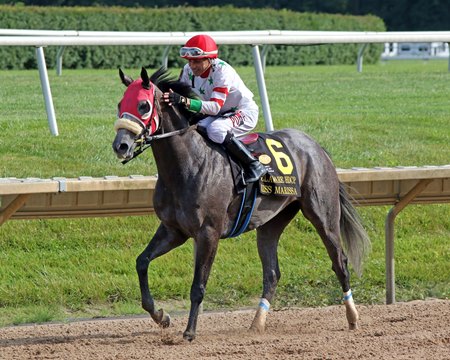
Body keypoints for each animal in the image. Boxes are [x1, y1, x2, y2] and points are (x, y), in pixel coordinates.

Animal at [111, 67, 370, 340]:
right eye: (120, 104)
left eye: (144, 105)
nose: (121, 145)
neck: (188, 165)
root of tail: (315, 146)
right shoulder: (174, 230)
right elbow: (142, 262)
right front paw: (161, 316)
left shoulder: (208, 232)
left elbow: (198, 285)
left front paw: (190, 331)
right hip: (271, 222)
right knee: (272, 273)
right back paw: (257, 323)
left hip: (323, 216)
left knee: (339, 262)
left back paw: (352, 317)